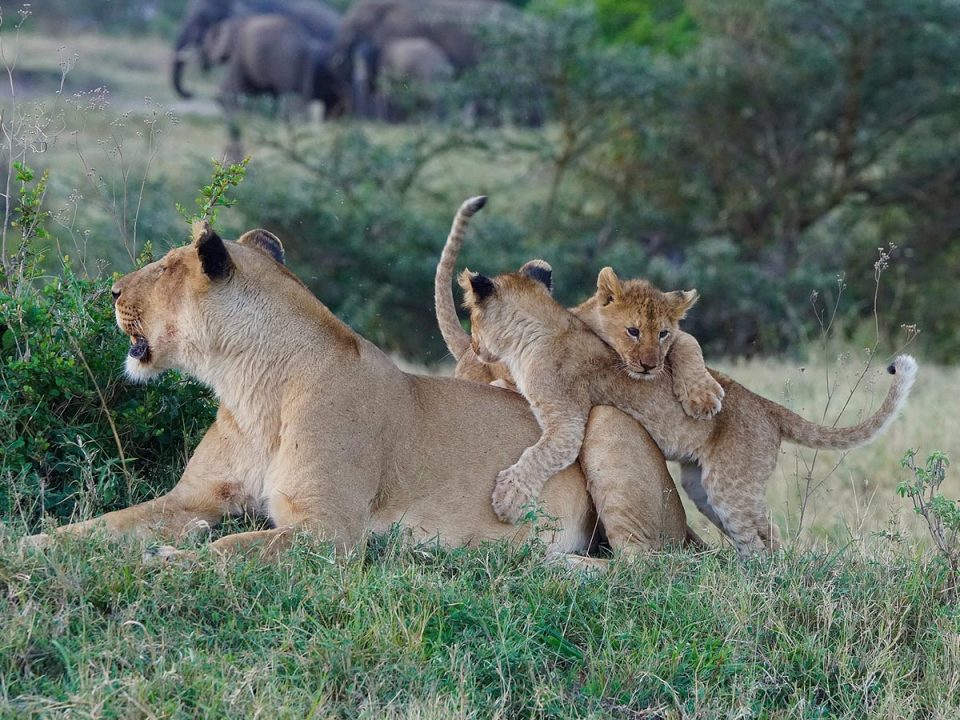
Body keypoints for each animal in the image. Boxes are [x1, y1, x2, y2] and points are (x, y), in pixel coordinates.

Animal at [20, 220, 698, 562]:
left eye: (162, 267)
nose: (111, 292)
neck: (249, 388)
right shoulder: (191, 498)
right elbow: (99, 526)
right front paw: (28, 547)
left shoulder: (331, 532)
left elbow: (233, 548)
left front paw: (172, 558)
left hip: (608, 425)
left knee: (643, 569)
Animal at [458, 260, 917, 556]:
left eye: (472, 320)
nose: (475, 347)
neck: (535, 331)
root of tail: (767, 407)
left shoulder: (566, 420)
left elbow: (540, 454)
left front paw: (506, 500)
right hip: (705, 489)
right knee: (765, 531)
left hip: (730, 488)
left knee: (758, 542)